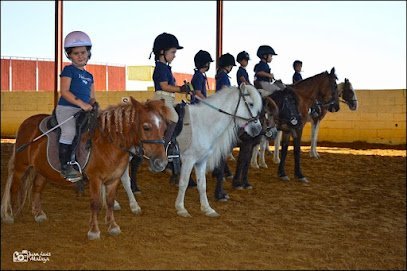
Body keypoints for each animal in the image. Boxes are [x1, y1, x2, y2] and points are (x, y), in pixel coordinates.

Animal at [1, 97, 171, 240]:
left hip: (42, 169)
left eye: (164, 128)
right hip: (21, 167)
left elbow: (110, 202)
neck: (109, 142)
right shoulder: (95, 179)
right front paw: (94, 231)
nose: (161, 163)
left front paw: (112, 226)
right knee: (14, 188)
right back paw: (9, 214)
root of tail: (26, 123)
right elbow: (95, 203)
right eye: (146, 127)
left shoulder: (114, 179)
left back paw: (38, 214)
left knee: (36, 188)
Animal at [114, 85, 264, 219]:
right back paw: (131, 205)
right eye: (250, 104)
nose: (257, 129)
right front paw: (181, 208)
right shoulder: (188, 159)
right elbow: (184, 183)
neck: (204, 123)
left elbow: (202, 184)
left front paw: (207, 209)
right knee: (123, 178)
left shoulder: (201, 161)